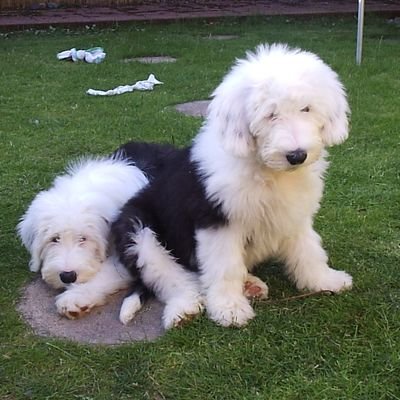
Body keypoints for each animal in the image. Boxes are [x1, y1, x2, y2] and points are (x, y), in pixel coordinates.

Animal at [112, 43, 354, 330]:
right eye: (270, 114)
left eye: (306, 109)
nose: (297, 155)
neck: (268, 171)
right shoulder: (217, 220)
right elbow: (224, 267)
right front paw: (229, 309)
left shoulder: (294, 213)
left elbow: (309, 249)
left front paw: (325, 280)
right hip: (139, 232)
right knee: (174, 277)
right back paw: (184, 309)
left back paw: (250, 285)